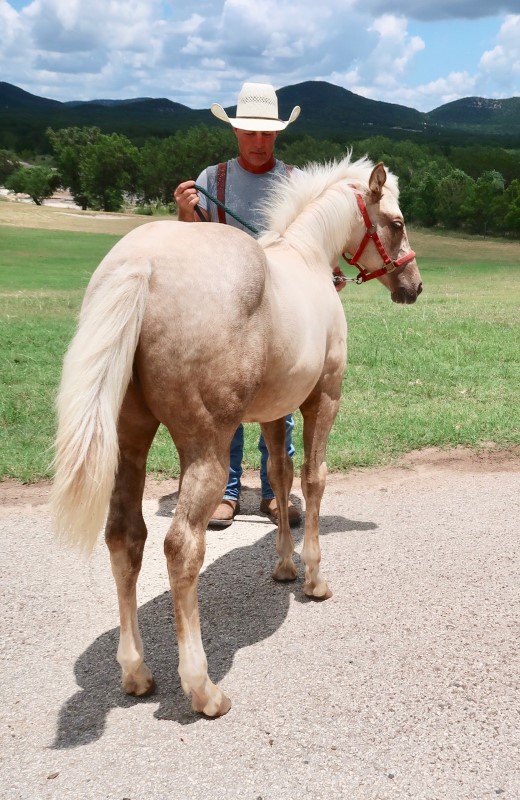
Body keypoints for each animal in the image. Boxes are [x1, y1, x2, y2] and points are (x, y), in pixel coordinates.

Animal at [49, 156, 422, 720]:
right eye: (396, 222)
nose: (413, 286)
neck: (306, 257)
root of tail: (142, 265)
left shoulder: (273, 414)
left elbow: (279, 477)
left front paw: (285, 566)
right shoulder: (323, 400)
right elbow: (313, 479)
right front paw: (313, 577)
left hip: (130, 440)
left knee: (124, 536)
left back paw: (136, 672)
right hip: (206, 446)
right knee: (181, 546)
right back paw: (202, 688)